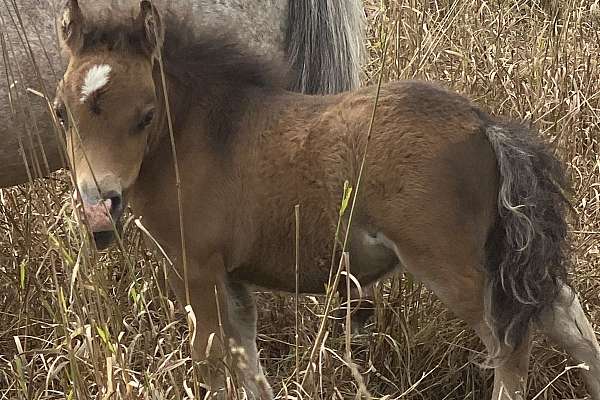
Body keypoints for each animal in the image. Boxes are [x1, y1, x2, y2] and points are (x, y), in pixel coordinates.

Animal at [54, 0, 600, 400]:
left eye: (145, 115)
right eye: (61, 112)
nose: (99, 207)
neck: (201, 135)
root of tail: (483, 125)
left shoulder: (196, 266)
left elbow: (210, 359)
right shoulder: (233, 277)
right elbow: (246, 361)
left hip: (451, 264)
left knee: (510, 345)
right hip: (497, 254)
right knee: (570, 321)